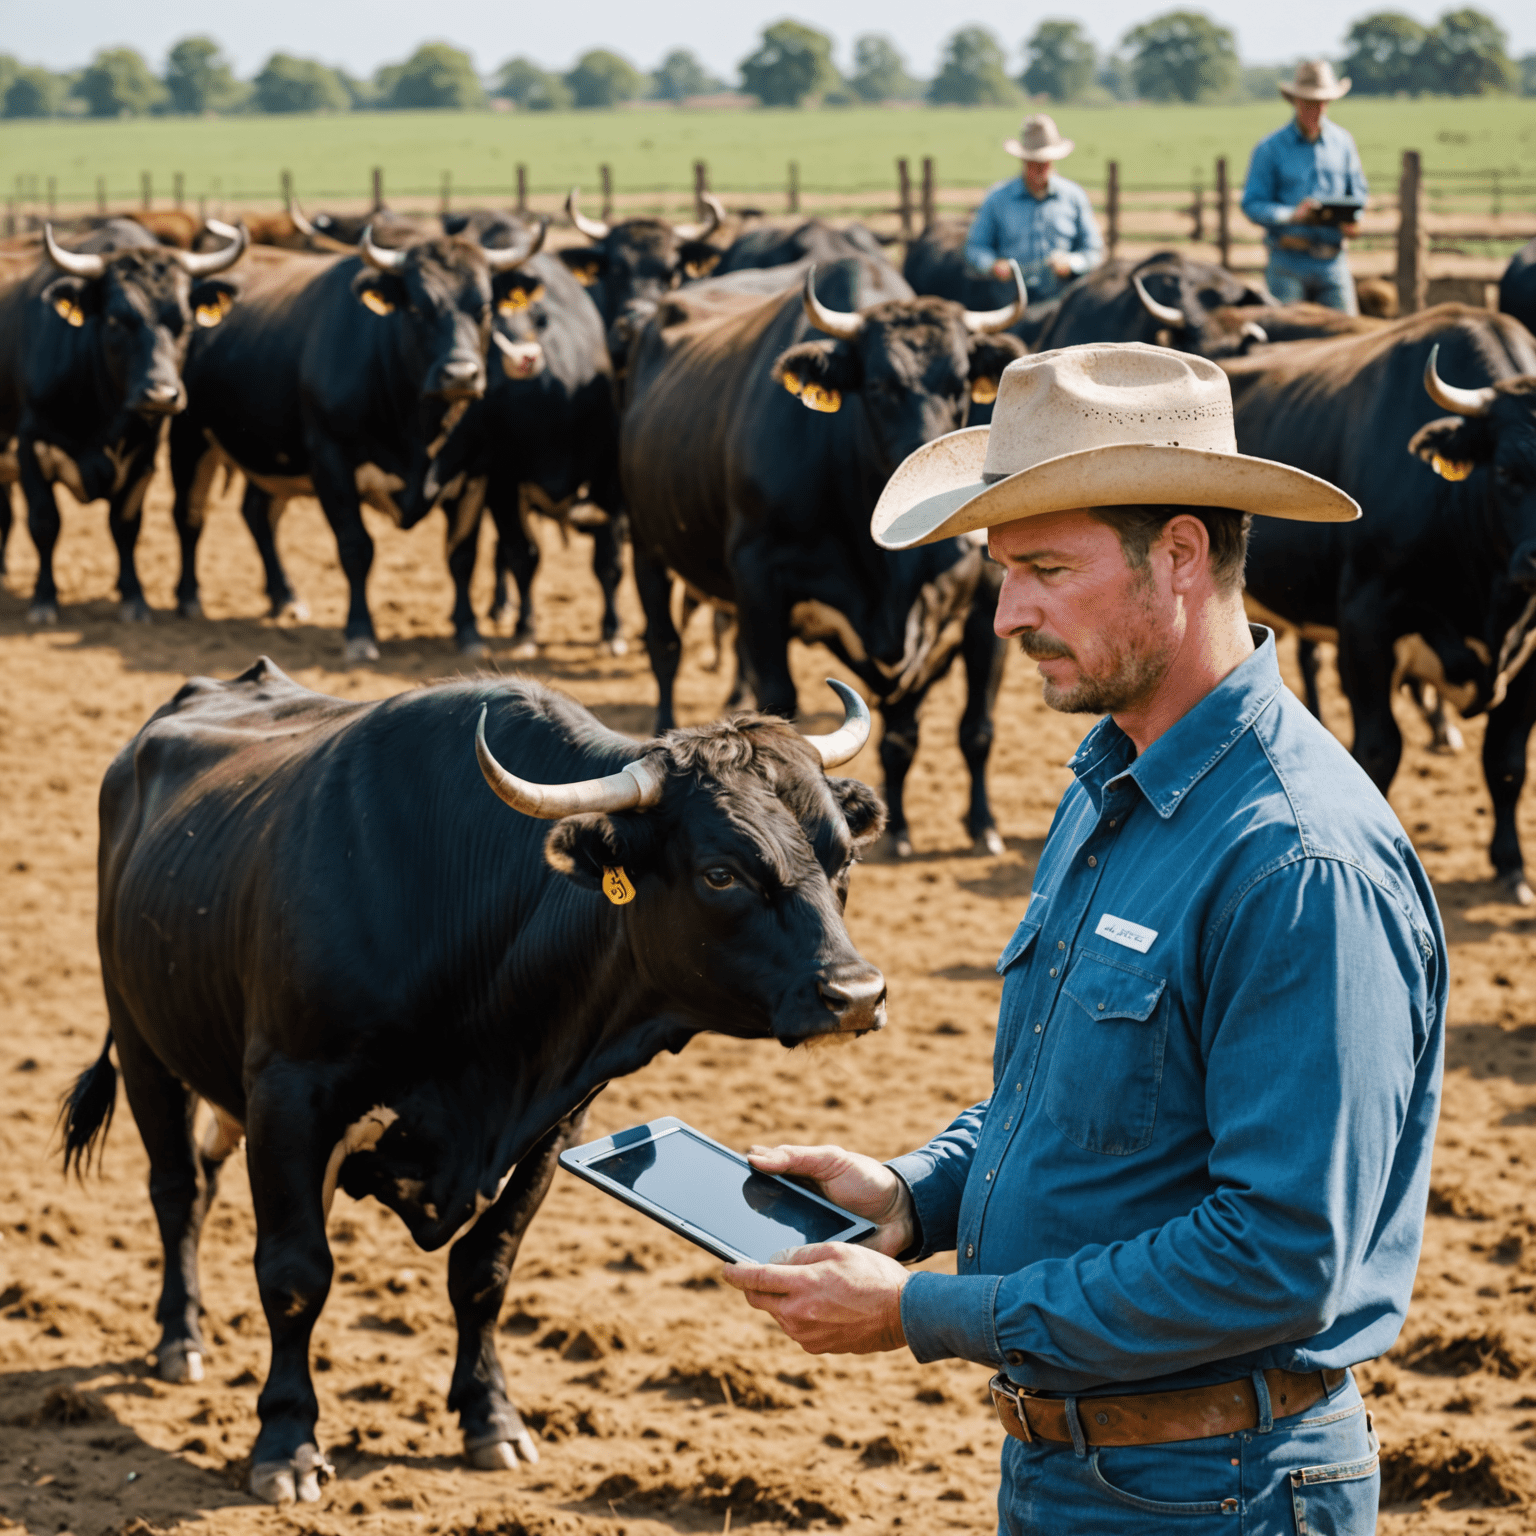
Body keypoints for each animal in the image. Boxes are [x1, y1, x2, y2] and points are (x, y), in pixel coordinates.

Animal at [66, 657, 890, 1499]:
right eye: (721, 873)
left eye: (843, 859)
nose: (857, 994)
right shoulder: (288, 1099)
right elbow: (296, 1275)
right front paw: (287, 1443)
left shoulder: (556, 1121)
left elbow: (484, 1271)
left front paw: (489, 1416)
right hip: (142, 1042)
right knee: (176, 1189)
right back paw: (181, 1337)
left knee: (200, 1179)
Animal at [617, 259, 1026, 860]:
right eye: (878, 386)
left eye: (959, 385)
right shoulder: (761, 585)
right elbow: (780, 705)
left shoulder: (979, 605)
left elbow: (964, 729)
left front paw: (968, 825)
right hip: (648, 544)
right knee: (665, 648)